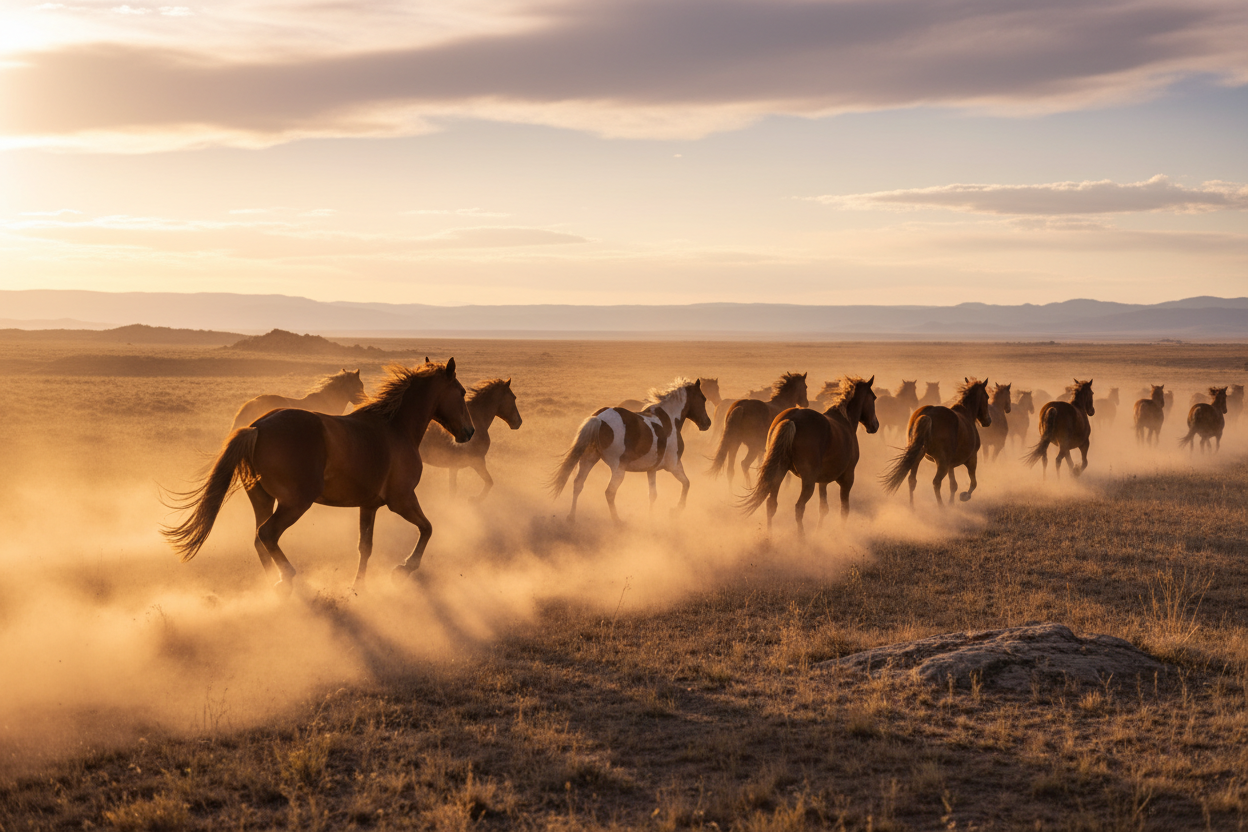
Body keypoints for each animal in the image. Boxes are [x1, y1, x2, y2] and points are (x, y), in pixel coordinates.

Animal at [550, 378, 712, 523]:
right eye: (703, 398)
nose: (707, 423)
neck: (670, 419)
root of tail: (599, 419)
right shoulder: (674, 465)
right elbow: (686, 484)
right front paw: (676, 510)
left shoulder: (651, 469)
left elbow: (652, 494)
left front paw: (651, 517)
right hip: (618, 469)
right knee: (609, 492)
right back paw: (618, 522)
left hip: (588, 459)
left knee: (578, 484)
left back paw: (571, 517)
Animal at [740, 376, 878, 533]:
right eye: (874, 397)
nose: (875, 425)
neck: (845, 421)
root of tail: (792, 419)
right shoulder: (847, 478)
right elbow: (844, 510)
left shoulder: (823, 481)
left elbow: (823, 508)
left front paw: (819, 531)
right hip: (808, 481)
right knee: (799, 507)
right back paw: (802, 537)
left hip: (779, 472)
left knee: (771, 504)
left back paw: (770, 535)